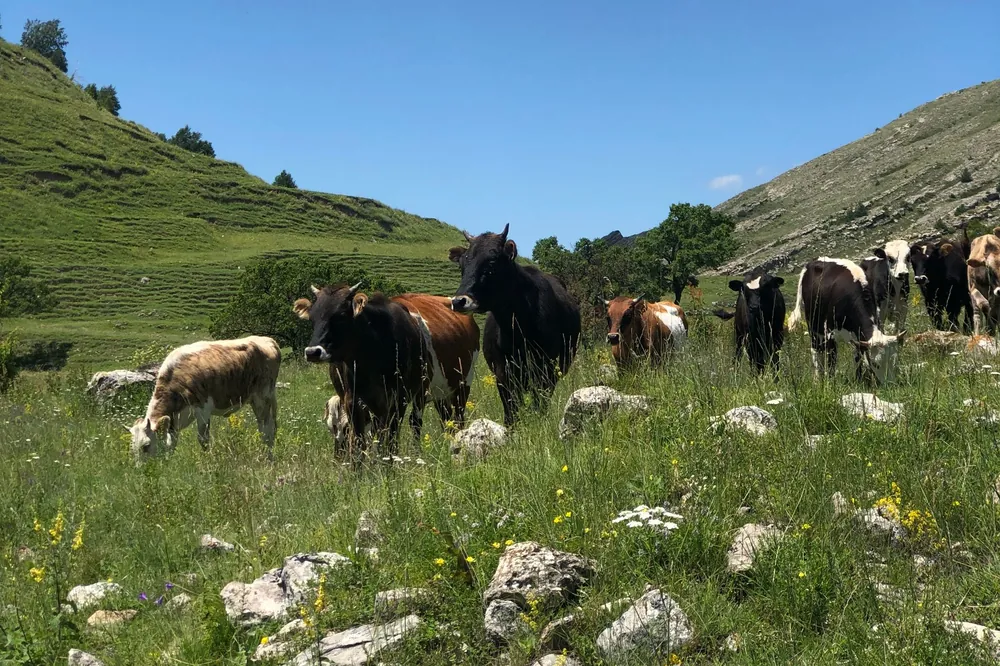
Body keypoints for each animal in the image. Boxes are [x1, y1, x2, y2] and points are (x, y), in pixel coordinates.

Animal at [128, 336, 280, 462]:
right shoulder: (173, 421)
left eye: (146, 445)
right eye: (133, 447)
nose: (140, 469)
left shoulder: (203, 409)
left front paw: (207, 461)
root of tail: (266, 339)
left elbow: (203, 440)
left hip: (262, 398)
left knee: (266, 429)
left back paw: (267, 457)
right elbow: (171, 443)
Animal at [294, 282, 429, 453]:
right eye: (312, 318)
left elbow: (390, 439)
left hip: (416, 393)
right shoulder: (353, 401)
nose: (312, 352)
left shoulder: (397, 399)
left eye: (340, 316)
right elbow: (359, 441)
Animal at [449, 224, 581, 426]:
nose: (459, 301)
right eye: (462, 264)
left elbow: (540, 404)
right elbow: (510, 411)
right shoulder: (502, 373)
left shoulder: (546, 370)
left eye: (492, 263)